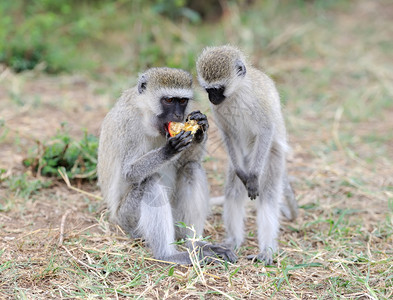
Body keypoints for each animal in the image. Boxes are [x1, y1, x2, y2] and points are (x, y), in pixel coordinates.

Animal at [97, 67, 236, 264]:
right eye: (169, 100)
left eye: (183, 101)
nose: (178, 116)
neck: (146, 115)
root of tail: (115, 219)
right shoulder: (130, 124)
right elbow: (128, 173)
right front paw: (169, 150)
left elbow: (188, 161)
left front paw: (200, 128)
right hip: (127, 218)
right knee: (151, 181)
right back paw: (168, 255)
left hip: (177, 219)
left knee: (191, 168)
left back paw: (195, 243)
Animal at [196, 45, 298, 264]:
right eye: (208, 90)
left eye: (217, 89)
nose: (211, 99)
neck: (236, 93)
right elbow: (227, 134)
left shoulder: (258, 102)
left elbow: (266, 130)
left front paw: (253, 177)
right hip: (243, 159)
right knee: (233, 192)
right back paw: (233, 241)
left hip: (271, 158)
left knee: (267, 196)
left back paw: (266, 249)